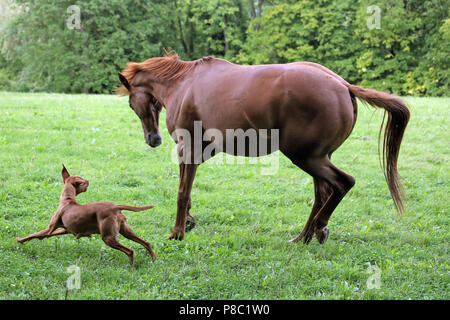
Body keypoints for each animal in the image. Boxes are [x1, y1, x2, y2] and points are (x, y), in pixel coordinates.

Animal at [16, 165, 156, 268]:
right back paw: (154, 259)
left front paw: (20, 240)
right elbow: (43, 235)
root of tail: (115, 206)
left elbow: (35, 234)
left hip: (108, 237)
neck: (68, 200)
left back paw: (131, 268)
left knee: (130, 251)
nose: (87, 183)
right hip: (126, 231)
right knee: (146, 243)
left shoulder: (50, 228)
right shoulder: (64, 230)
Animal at [118, 52, 410, 244]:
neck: (184, 83)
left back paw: (318, 227)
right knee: (323, 192)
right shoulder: (199, 151)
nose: (152, 139)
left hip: (307, 157)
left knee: (342, 183)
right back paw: (306, 235)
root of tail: (342, 85)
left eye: (132, 104)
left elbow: (181, 192)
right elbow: (187, 192)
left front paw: (177, 232)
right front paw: (188, 222)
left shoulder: (187, 148)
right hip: (318, 158)